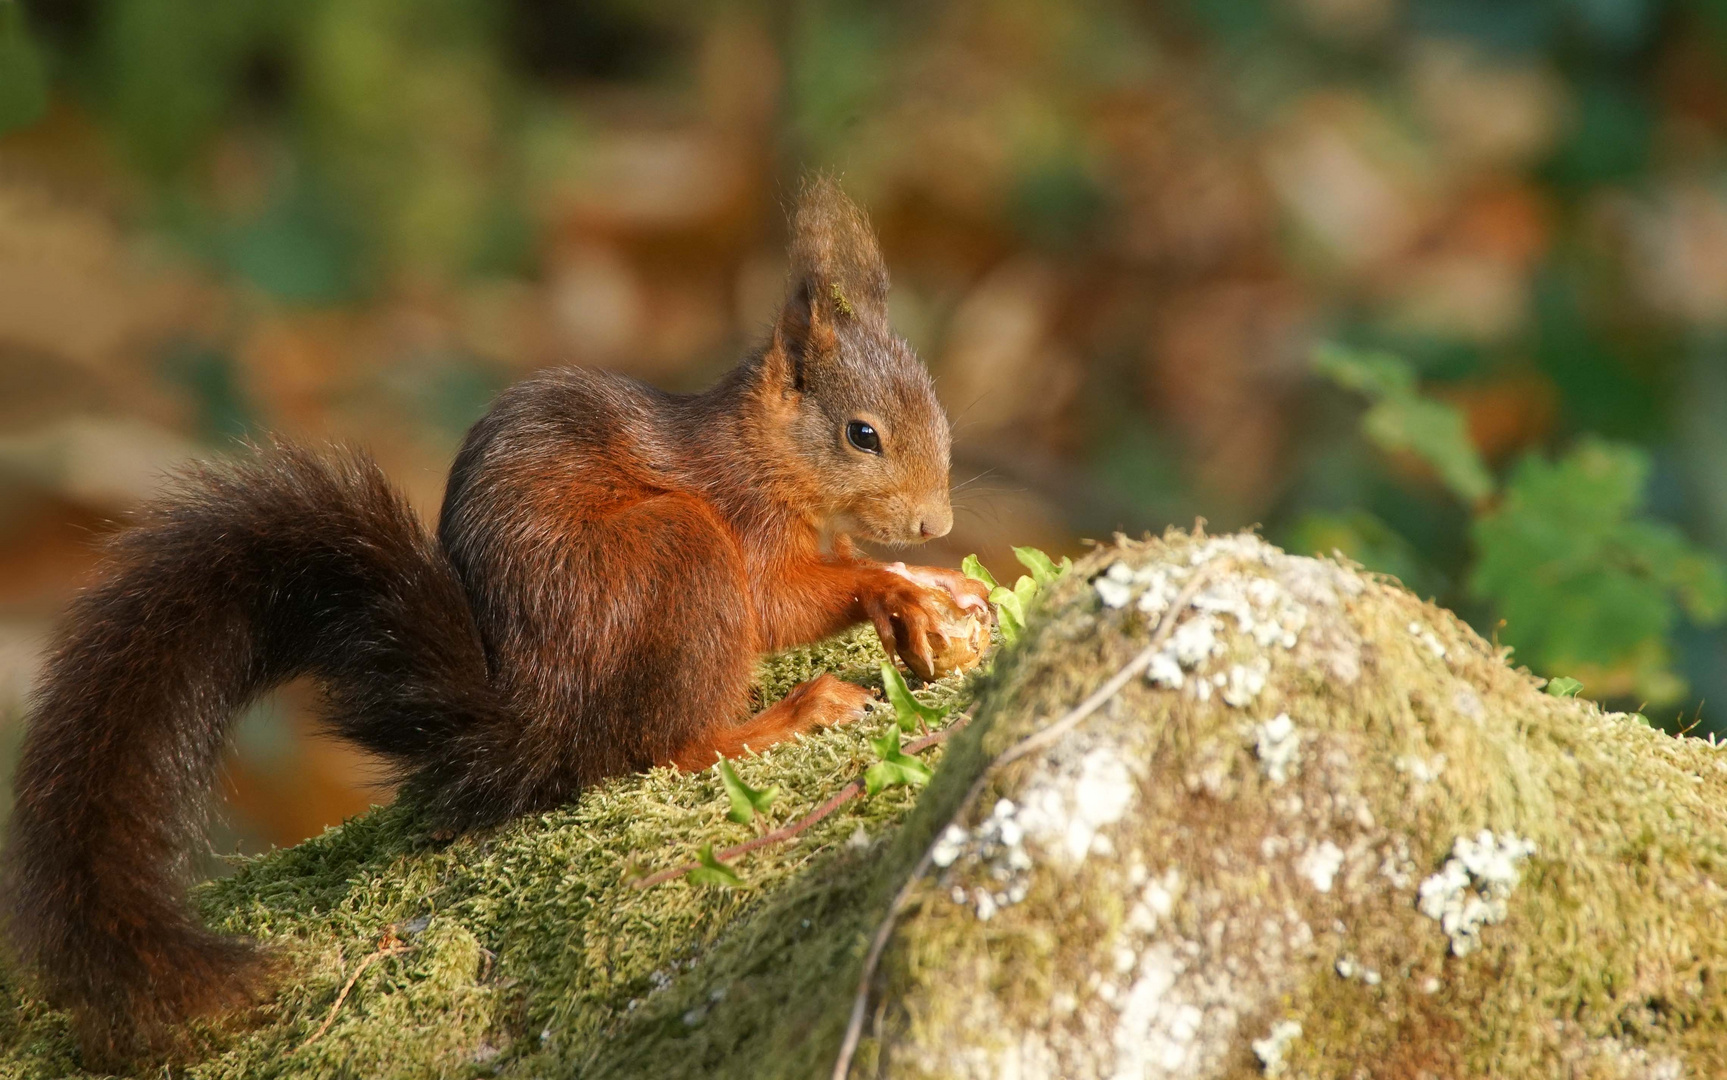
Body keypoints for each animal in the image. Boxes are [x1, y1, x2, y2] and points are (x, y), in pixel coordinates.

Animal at [3, 177, 987, 1064]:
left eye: (940, 412)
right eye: (862, 434)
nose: (936, 523)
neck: (760, 447)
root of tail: (534, 719)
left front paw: (936, 582)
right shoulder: (735, 516)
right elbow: (780, 603)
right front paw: (895, 588)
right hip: (677, 557)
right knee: (665, 746)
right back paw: (792, 713)